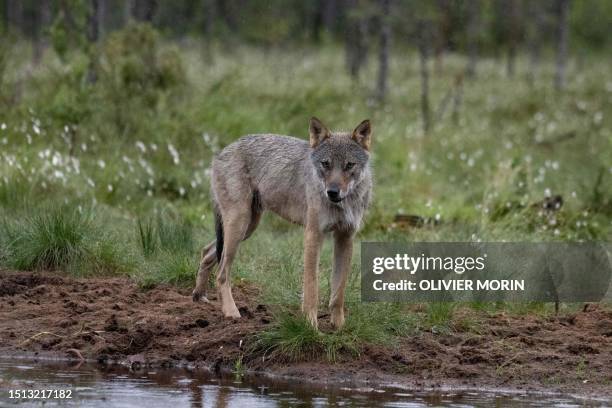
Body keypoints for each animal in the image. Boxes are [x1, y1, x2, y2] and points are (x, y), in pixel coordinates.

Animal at [192, 117, 372, 328]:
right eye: (325, 164)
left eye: (349, 165)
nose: (333, 192)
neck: (343, 204)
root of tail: (221, 151)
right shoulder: (313, 235)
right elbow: (311, 289)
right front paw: (311, 326)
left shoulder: (345, 237)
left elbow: (338, 292)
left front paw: (339, 328)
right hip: (239, 226)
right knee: (222, 273)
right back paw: (231, 312)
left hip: (246, 228)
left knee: (206, 252)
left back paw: (199, 296)